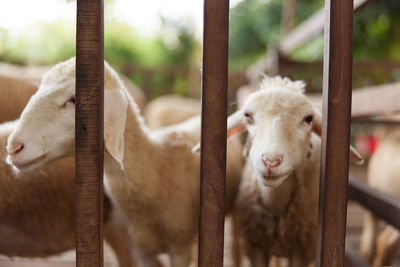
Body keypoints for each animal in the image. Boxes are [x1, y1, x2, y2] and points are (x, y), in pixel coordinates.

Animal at [223, 76, 364, 267]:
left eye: (308, 118)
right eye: (247, 116)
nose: (271, 161)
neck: (275, 204)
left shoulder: (301, 250)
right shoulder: (256, 246)